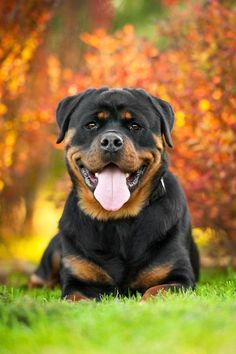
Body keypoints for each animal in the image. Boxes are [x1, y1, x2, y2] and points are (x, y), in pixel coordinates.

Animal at [29, 87, 199, 300]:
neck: (117, 219)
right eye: (91, 124)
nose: (111, 141)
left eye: (135, 125)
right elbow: (74, 297)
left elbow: (155, 292)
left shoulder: (179, 279)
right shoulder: (76, 282)